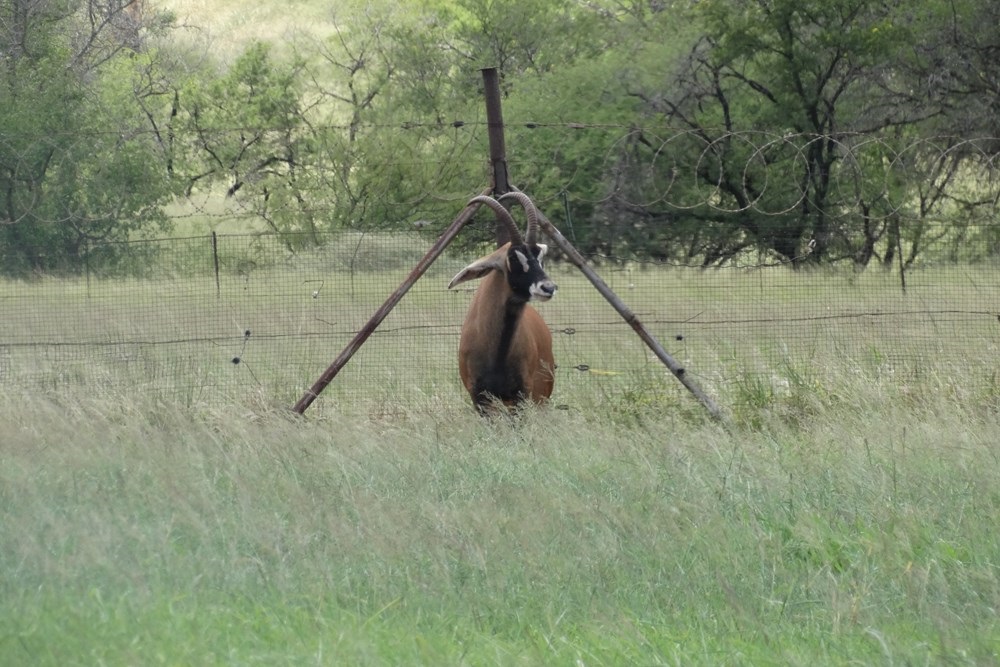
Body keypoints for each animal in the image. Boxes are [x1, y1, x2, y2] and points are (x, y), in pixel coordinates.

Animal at [450, 190, 560, 414]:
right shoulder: (479, 397)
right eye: (513, 258)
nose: (548, 288)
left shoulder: (521, 395)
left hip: (539, 398)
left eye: (540, 258)